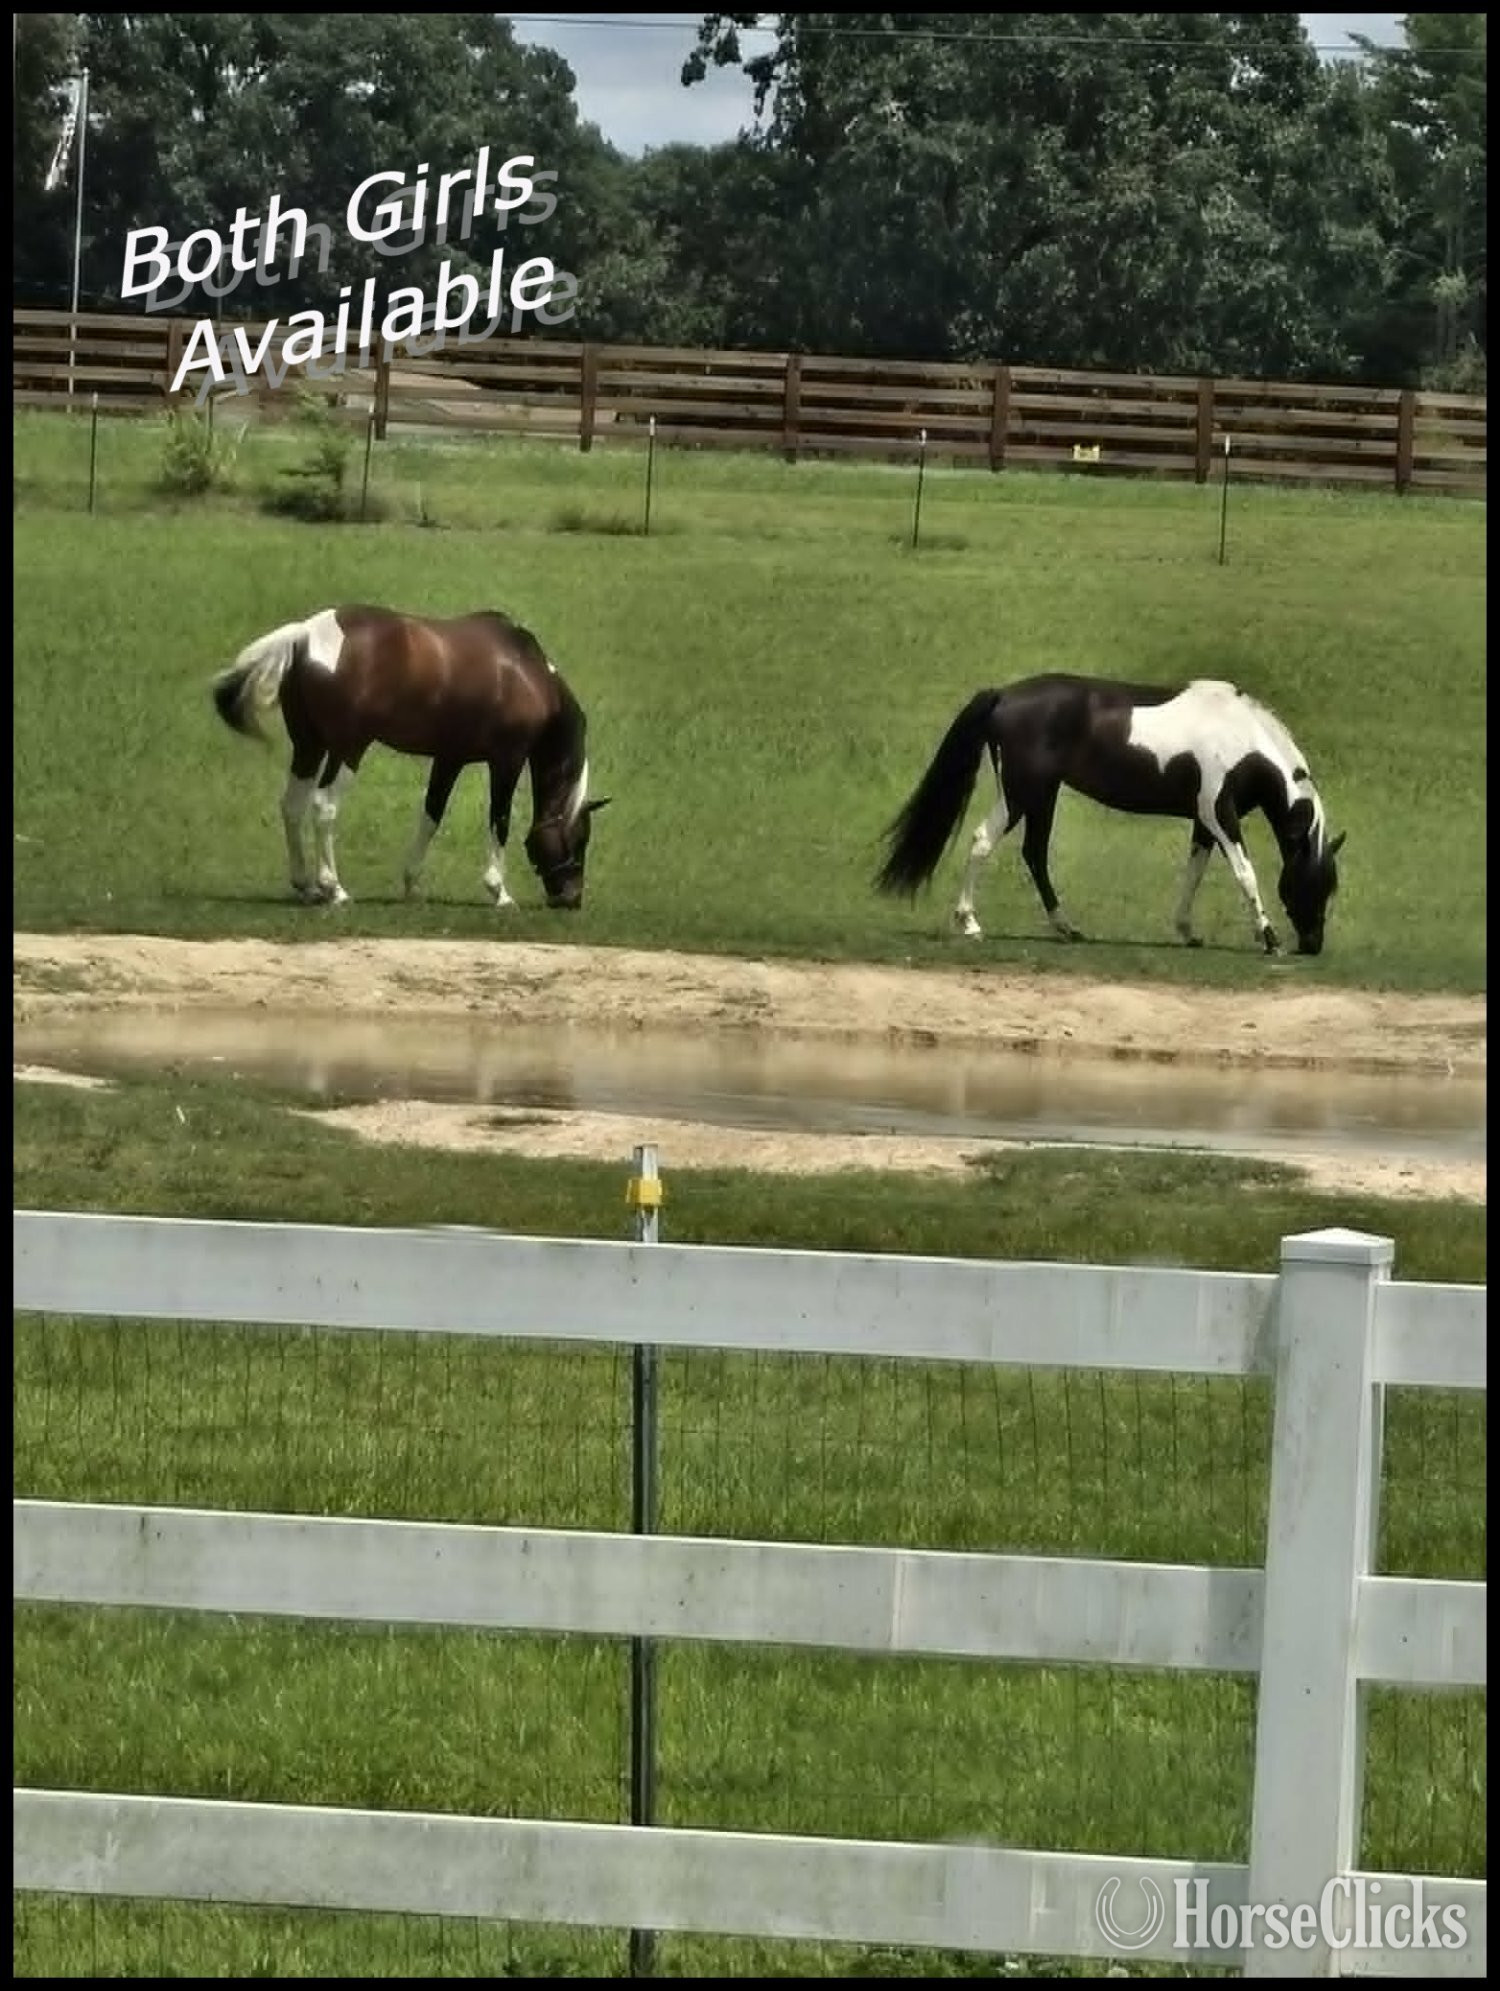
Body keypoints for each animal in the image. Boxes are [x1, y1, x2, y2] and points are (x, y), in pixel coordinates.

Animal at [210, 604, 610, 911]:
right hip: (348, 750)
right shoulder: (506, 760)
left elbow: (431, 814)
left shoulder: (450, 759)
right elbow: (500, 820)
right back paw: (334, 889)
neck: (524, 671)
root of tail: (306, 634)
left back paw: (306, 886)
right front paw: (499, 892)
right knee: (323, 806)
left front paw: (411, 884)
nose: (571, 899)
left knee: (292, 805)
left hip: (310, 747)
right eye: (580, 839)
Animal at [874, 673, 1346, 957]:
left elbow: (1193, 873)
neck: (1242, 739)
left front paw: (1187, 931)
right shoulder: (1219, 814)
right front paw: (1268, 938)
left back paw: (1067, 929)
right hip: (1022, 794)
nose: (1312, 944)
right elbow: (1245, 873)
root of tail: (1003, 694)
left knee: (1034, 854)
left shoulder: (1203, 822)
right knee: (983, 842)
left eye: (1330, 886)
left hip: (1042, 795)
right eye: (1310, 883)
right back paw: (970, 923)